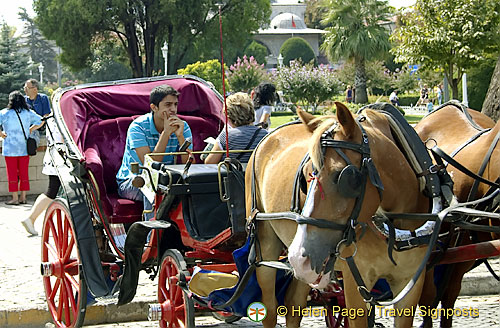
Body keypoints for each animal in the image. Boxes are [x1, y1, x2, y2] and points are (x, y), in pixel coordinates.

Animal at [246, 102, 434, 326]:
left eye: (345, 177)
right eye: (305, 176)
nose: (299, 257)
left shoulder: (411, 282)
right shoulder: (356, 285)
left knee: (294, 305)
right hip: (267, 244)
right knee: (270, 309)